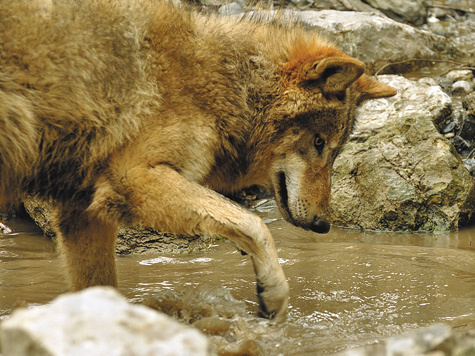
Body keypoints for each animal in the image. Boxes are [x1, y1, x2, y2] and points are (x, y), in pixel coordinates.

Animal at [0, 0, 398, 318]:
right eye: (317, 143)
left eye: (334, 151)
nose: (323, 225)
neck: (223, 84)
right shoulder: (134, 177)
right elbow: (254, 224)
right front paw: (273, 293)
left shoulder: (82, 213)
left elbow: (99, 289)